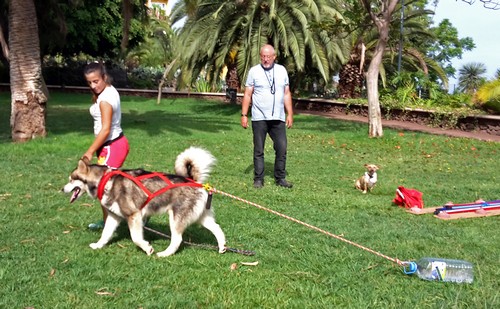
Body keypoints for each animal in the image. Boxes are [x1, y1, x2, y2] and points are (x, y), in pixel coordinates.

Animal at [63, 146, 227, 256]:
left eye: (71, 180)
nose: (62, 189)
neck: (104, 180)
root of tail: (194, 181)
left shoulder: (133, 215)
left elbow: (136, 237)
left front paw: (147, 248)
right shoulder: (114, 216)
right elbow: (105, 234)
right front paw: (98, 245)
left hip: (176, 218)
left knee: (177, 239)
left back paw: (164, 254)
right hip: (201, 216)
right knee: (217, 228)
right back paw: (222, 247)